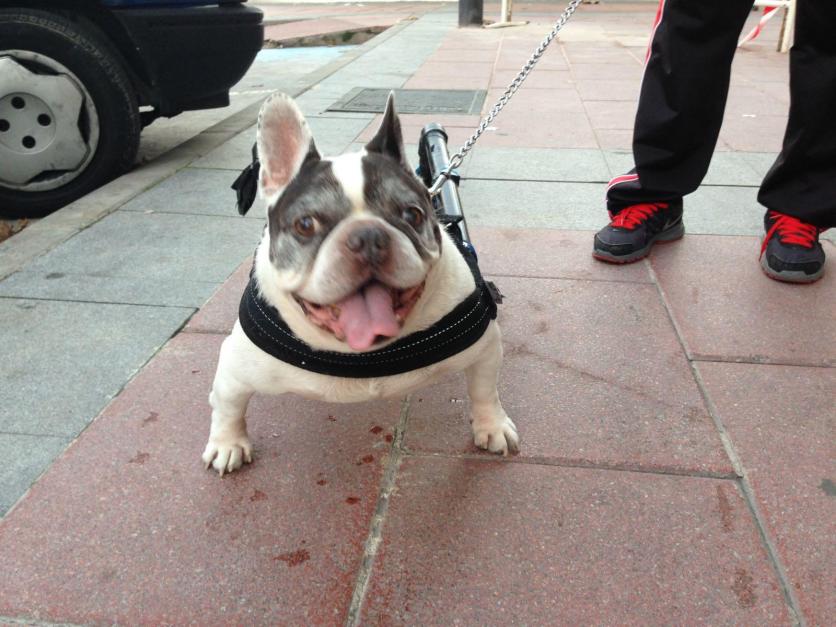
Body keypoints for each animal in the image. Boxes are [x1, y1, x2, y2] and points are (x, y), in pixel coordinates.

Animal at [202, 92, 518, 476]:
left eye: (412, 214)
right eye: (305, 224)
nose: (368, 236)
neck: (362, 354)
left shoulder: (485, 349)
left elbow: (485, 390)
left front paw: (492, 426)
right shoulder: (236, 369)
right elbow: (228, 406)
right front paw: (227, 444)